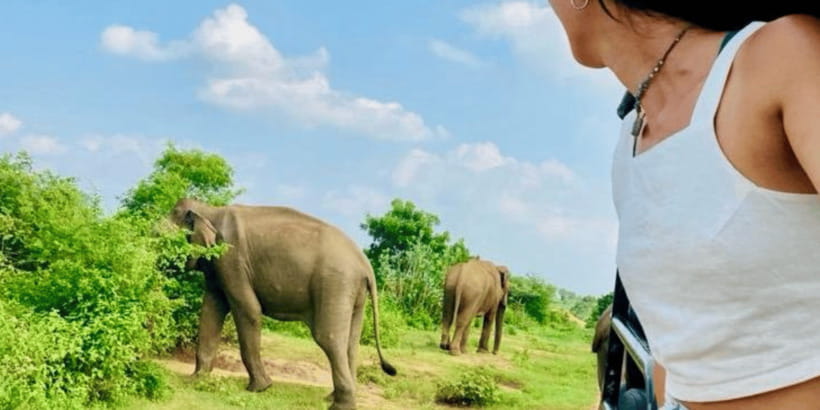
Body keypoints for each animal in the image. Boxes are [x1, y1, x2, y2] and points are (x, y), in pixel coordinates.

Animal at [168, 198, 396, 410]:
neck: (210, 210)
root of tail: (366, 265)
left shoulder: (231, 259)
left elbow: (249, 310)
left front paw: (259, 389)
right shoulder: (217, 267)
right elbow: (210, 311)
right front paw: (196, 380)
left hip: (336, 282)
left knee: (329, 338)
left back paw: (339, 406)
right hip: (354, 292)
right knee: (351, 343)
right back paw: (333, 397)